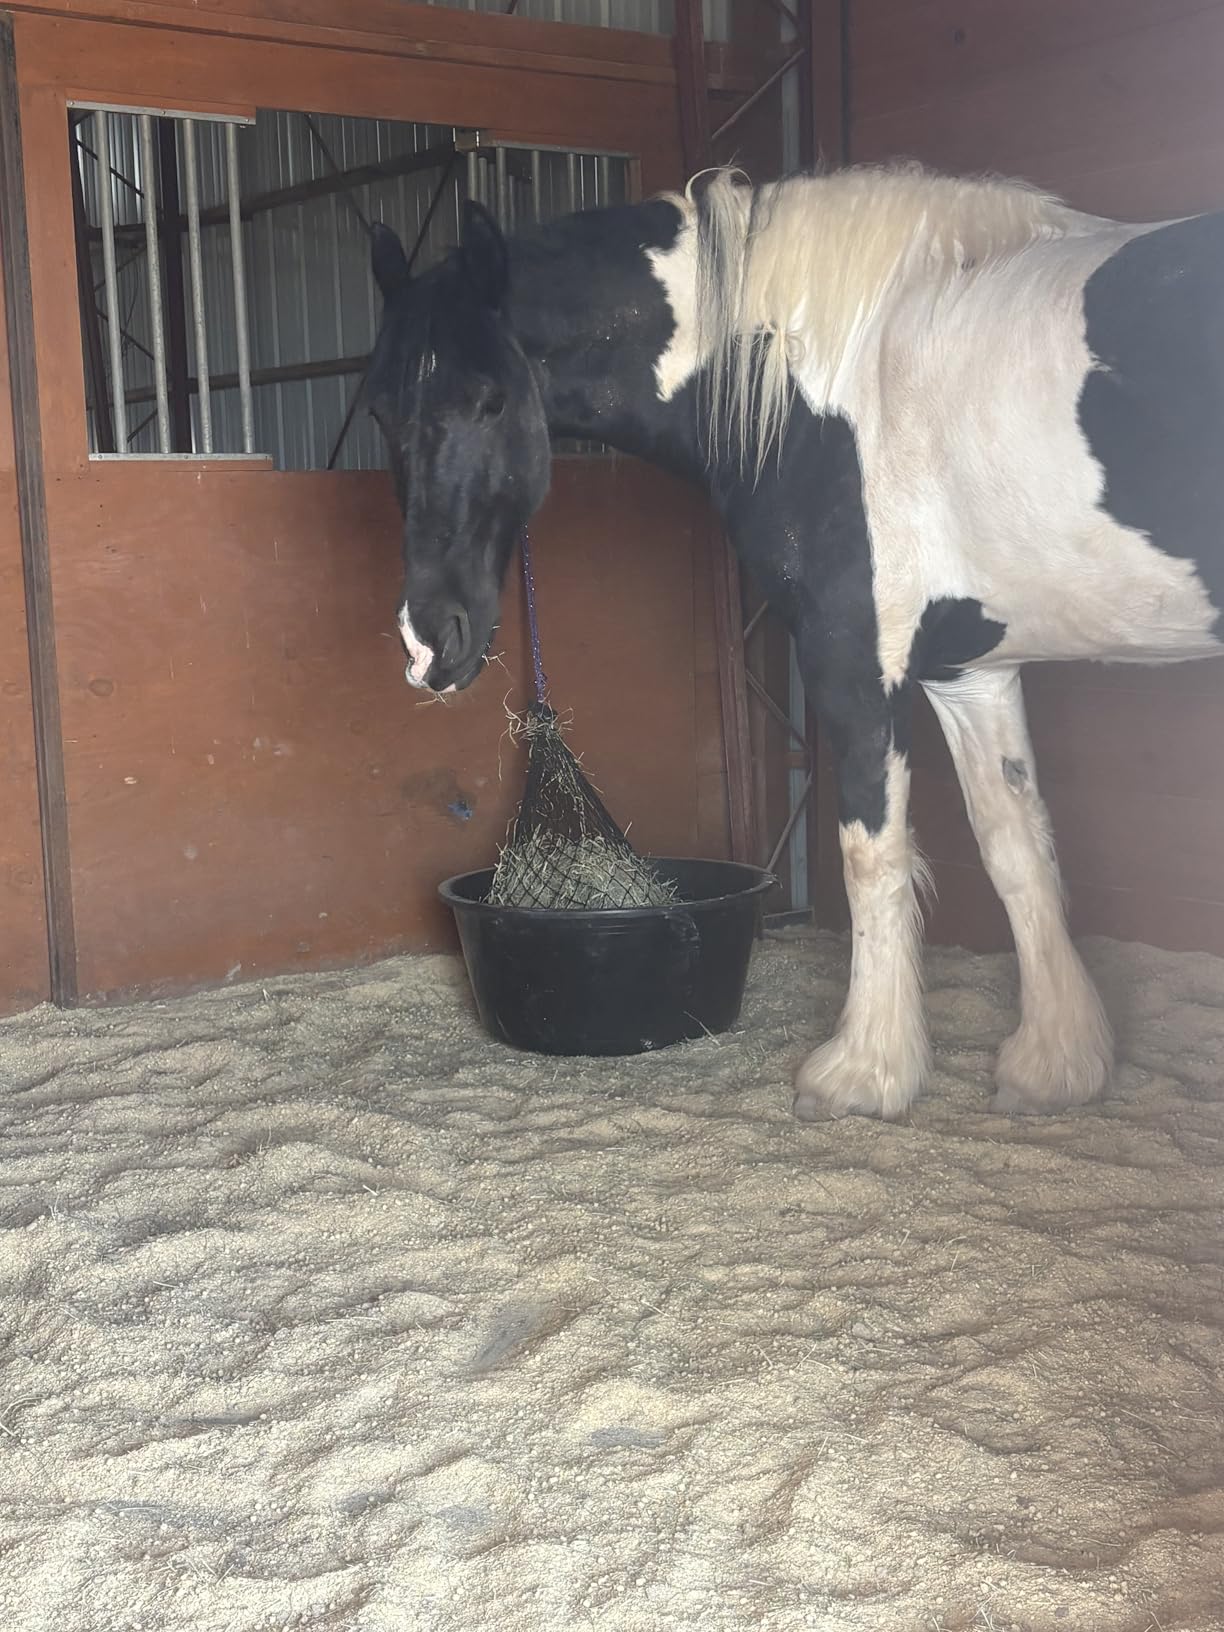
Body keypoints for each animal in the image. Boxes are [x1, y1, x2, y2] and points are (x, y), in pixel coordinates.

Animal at [365, 162, 1224, 1122]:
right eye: (381, 412)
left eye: (490, 400)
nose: (428, 641)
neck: (832, 379)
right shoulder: (972, 671)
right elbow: (1017, 848)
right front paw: (1055, 1062)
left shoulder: (856, 662)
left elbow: (872, 856)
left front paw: (863, 1072)